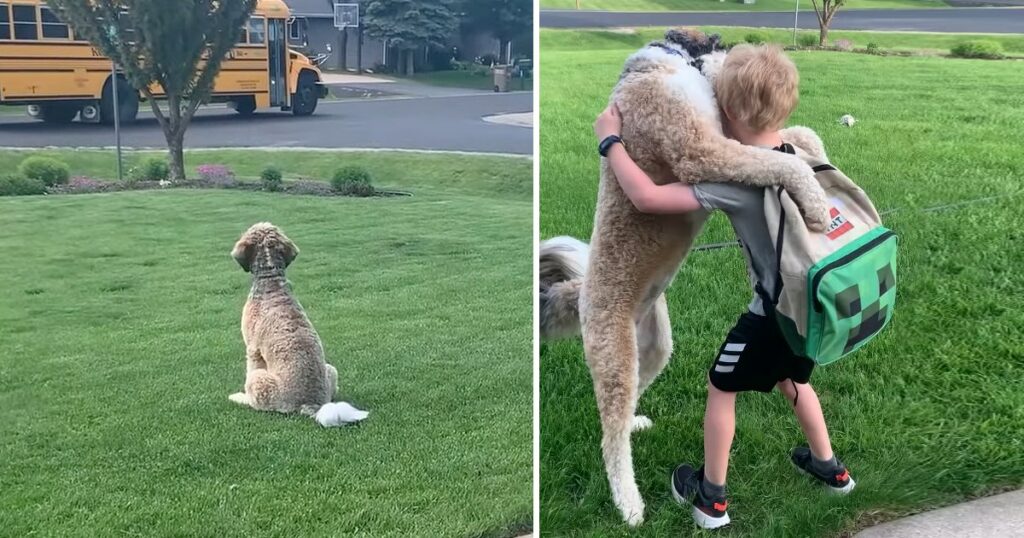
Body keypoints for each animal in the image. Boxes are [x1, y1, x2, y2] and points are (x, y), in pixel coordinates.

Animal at [228, 220, 368, 426]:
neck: (271, 278)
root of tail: (310, 403)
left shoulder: (253, 350)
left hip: (260, 380)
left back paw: (240, 398)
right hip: (330, 369)